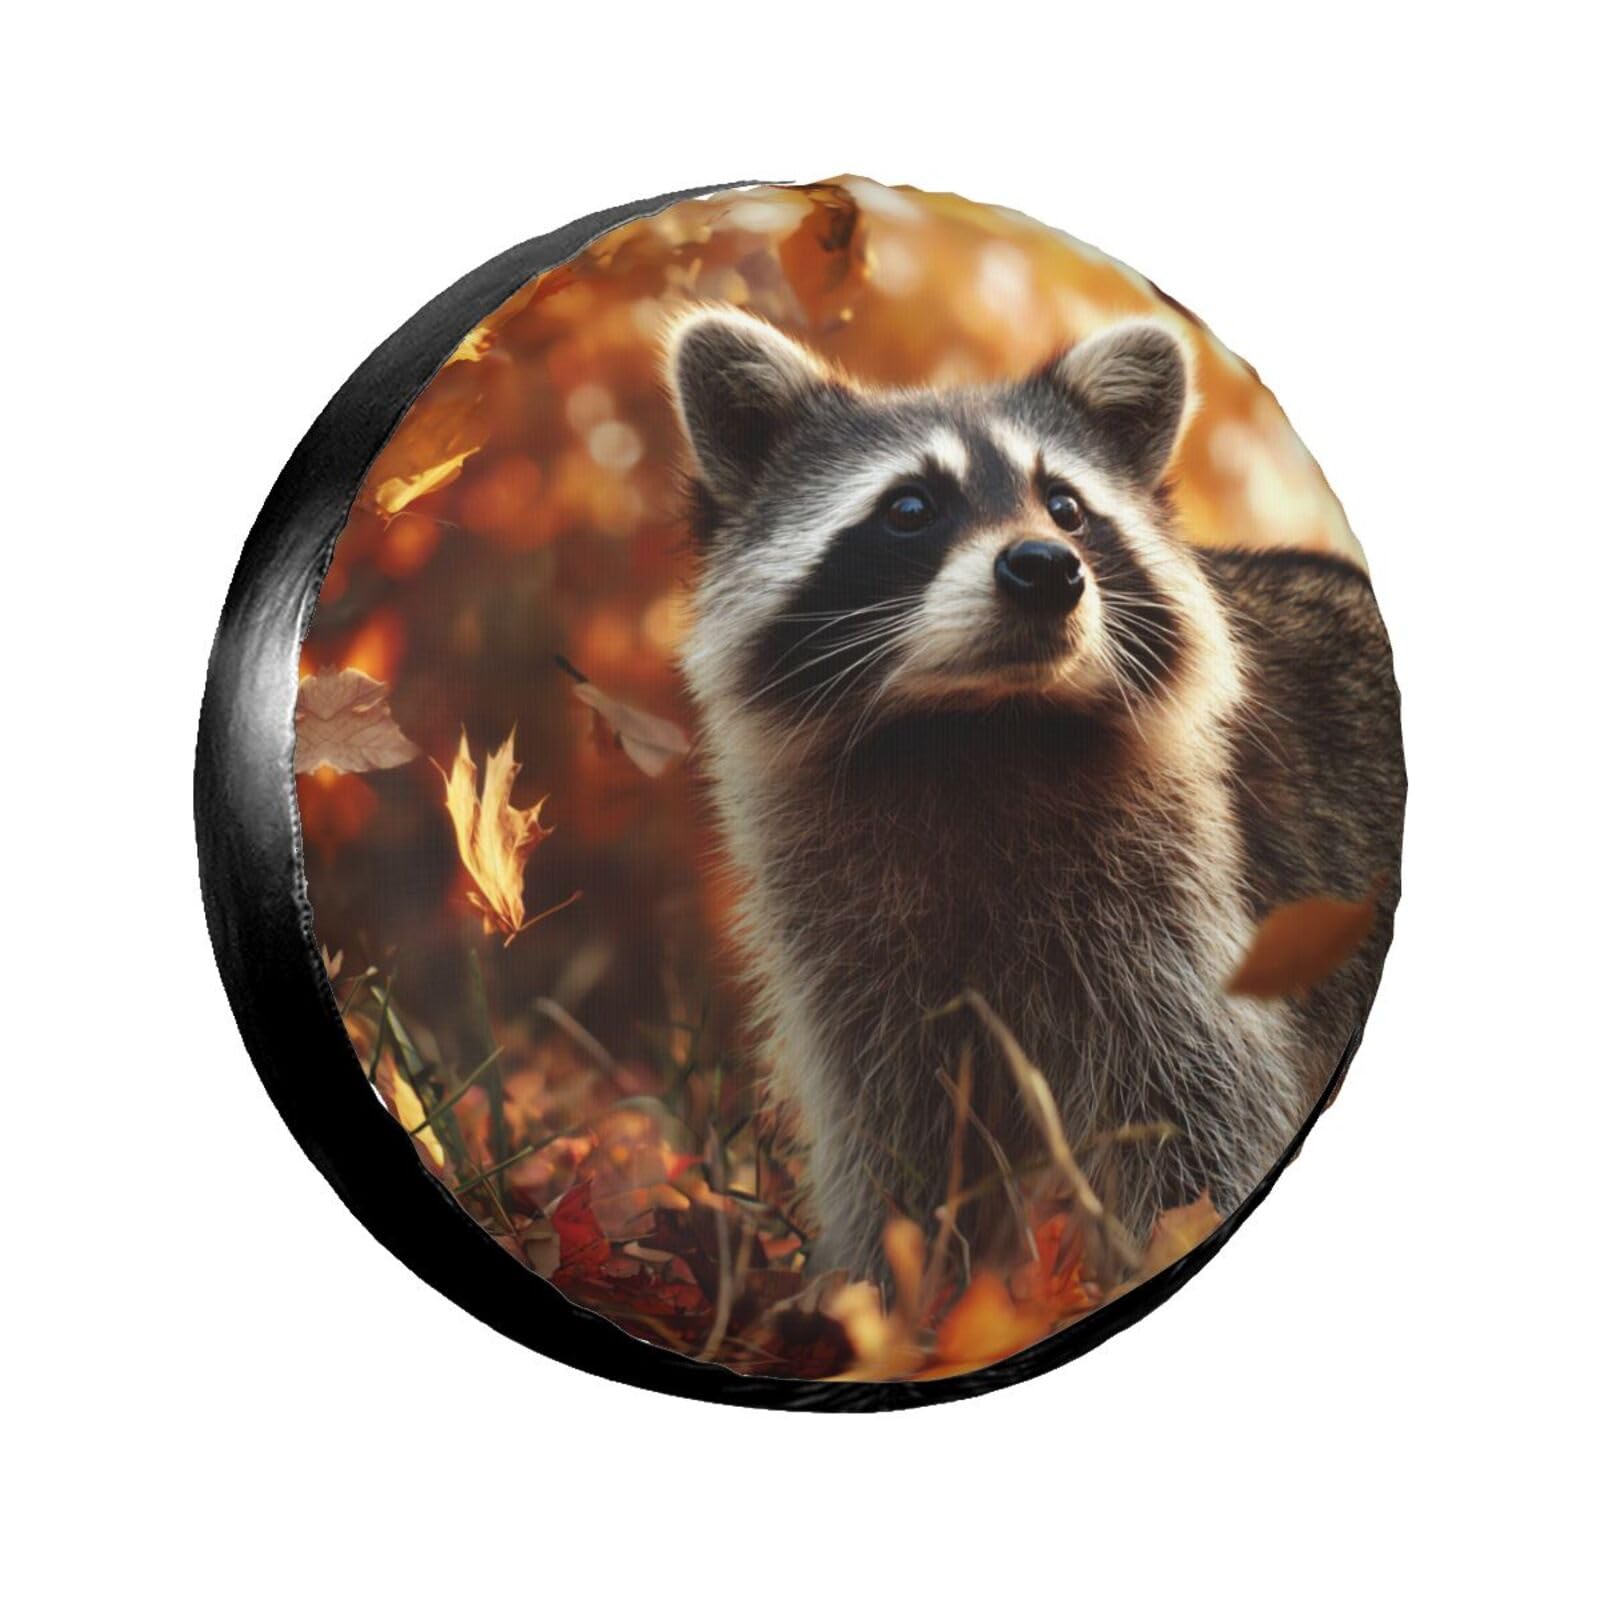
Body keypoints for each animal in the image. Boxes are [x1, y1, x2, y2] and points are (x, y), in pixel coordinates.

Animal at [665, 307, 1404, 1281]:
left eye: (1067, 508)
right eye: (910, 508)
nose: (1047, 566)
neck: (980, 728)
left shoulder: (1175, 894)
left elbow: (1198, 1099)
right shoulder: (839, 917)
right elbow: (894, 1119)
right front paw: (891, 1287)